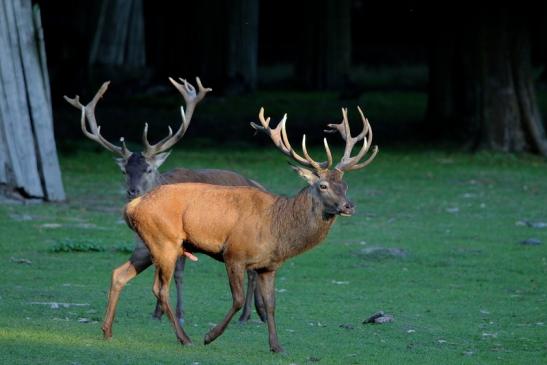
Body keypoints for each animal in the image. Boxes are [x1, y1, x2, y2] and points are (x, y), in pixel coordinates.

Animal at [63, 77, 268, 336]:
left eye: (149, 169)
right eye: (124, 171)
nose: (133, 192)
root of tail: (257, 184)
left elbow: (178, 274)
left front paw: (179, 314)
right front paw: (157, 313)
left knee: (251, 271)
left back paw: (247, 315)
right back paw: (258, 313)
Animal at [123, 105, 378, 350]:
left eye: (345, 185)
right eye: (323, 185)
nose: (349, 206)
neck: (277, 228)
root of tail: (132, 205)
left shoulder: (269, 265)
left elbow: (272, 304)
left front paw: (276, 346)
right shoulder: (233, 254)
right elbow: (236, 299)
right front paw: (210, 336)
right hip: (164, 243)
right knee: (160, 287)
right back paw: (185, 337)